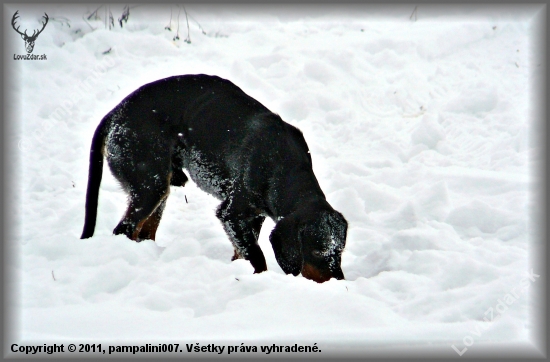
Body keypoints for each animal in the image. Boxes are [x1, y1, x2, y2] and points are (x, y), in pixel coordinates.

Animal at [81, 73, 350, 282]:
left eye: (340, 251)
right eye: (317, 252)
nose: (338, 281)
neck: (282, 165)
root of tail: (115, 114)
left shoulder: (253, 217)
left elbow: (242, 251)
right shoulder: (231, 213)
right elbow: (258, 257)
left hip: (158, 190)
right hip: (149, 186)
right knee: (124, 229)